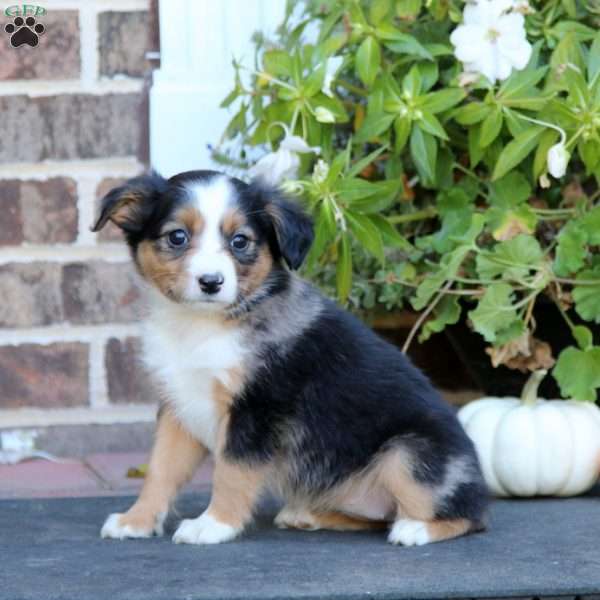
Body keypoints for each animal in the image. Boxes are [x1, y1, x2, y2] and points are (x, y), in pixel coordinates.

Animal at [92, 171, 488, 548]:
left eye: (240, 241)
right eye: (177, 237)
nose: (211, 282)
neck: (201, 325)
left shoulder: (257, 410)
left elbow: (231, 472)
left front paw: (214, 525)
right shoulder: (179, 404)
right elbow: (160, 469)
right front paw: (136, 521)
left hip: (408, 453)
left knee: (469, 517)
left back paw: (417, 529)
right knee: (380, 516)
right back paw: (308, 515)